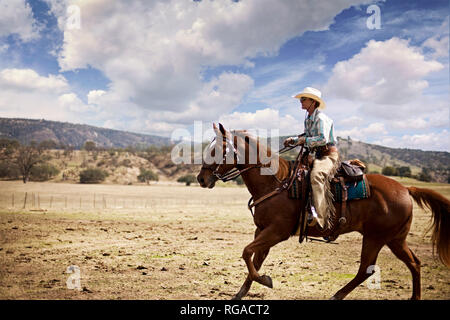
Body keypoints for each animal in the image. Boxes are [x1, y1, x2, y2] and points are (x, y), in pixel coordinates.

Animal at [197, 122, 450, 300]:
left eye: (217, 150)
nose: (201, 178)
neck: (276, 182)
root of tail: (406, 189)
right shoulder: (262, 231)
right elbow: (253, 259)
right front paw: (242, 292)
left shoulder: (277, 232)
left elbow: (246, 252)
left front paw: (266, 280)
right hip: (395, 239)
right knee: (413, 263)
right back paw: (413, 297)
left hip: (376, 237)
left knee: (366, 270)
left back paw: (337, 295)